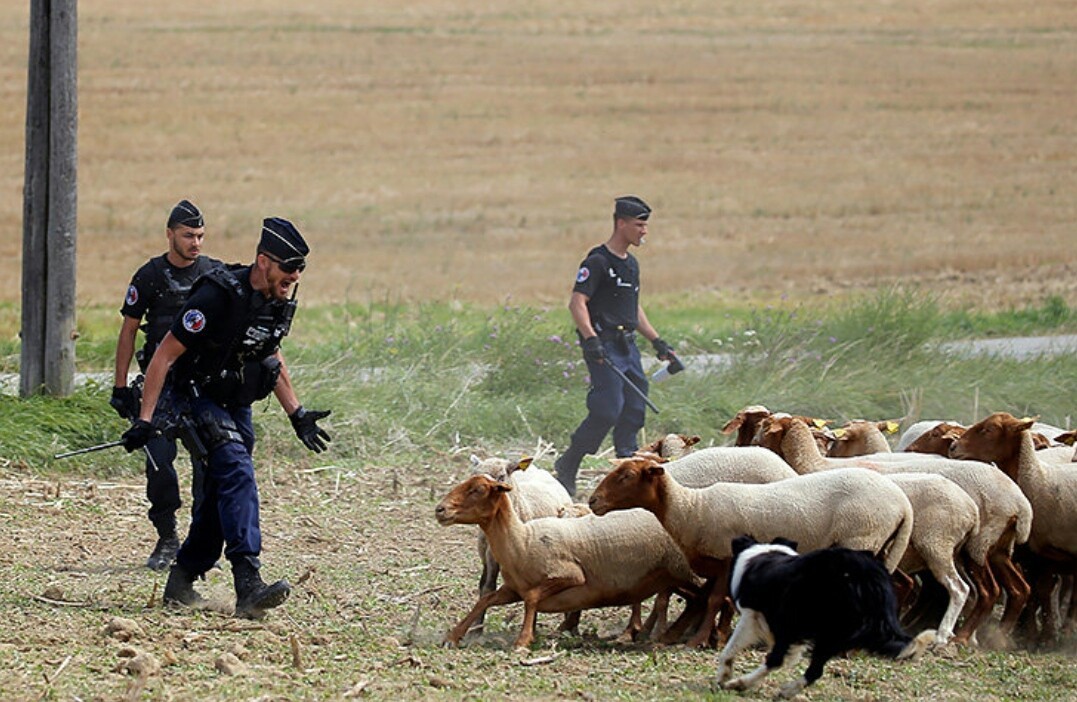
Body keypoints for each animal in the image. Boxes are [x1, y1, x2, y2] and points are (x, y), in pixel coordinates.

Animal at [715, 538, 934, 697]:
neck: (764, 554)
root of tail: (869, 580)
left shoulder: (754, 616)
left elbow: (730, 649)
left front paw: (725, 676)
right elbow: (789, 659)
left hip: (803, 620)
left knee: (776, 660)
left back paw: (739, 683)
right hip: (834, 635)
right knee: (814, 671)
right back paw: (787, 690)